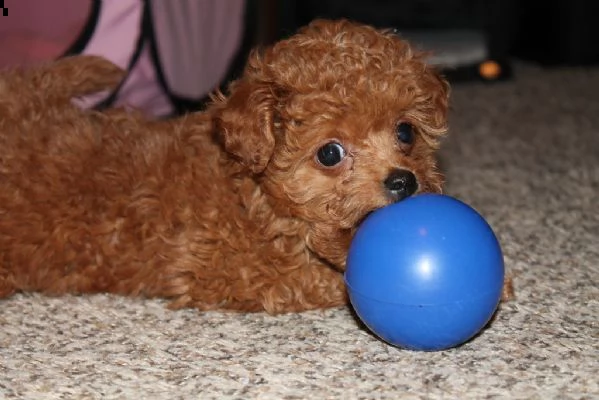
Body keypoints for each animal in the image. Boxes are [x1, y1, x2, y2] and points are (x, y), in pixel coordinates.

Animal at [0, 19, 450, 312]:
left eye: (405, 132)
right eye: (330, 153)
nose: (403, 181)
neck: (253, 195)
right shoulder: (231, 270)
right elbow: (322, 280)